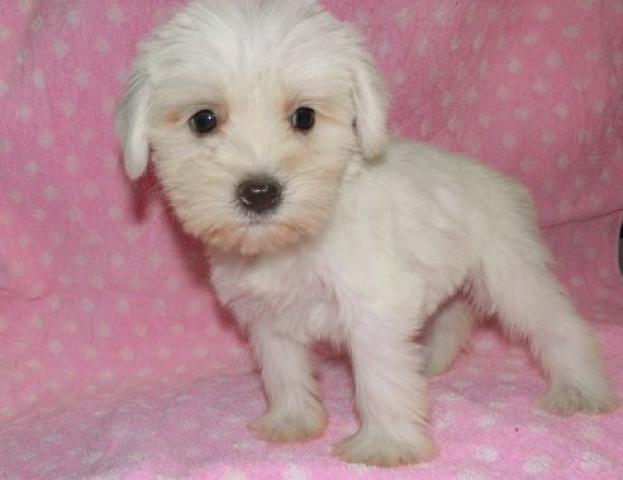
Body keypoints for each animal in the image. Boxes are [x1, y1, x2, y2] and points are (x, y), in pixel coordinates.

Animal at [117, 0, 617, 467]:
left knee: (558, 326)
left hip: (512, 274)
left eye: (304, 117)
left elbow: (380, 380)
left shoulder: (376, 308)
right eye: (203, 119)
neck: (297, 239)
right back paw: (430, 363)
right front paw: (292, 422)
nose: (259, 192)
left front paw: (386, 446)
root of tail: (502, 181)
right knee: (454, 316)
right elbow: (284, 370)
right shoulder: (268, 317)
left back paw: (582, 390)